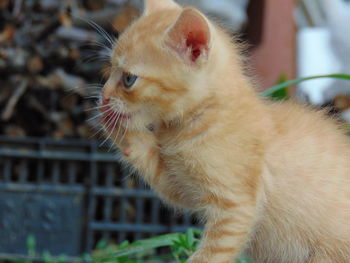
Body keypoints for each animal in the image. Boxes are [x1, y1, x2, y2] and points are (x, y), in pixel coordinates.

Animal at [97, 0, 350, 263]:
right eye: (111, 68)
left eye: (129, 79)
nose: (103, 95)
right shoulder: (181, 186)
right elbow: (151, 165)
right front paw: (116, 127)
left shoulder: (235, 208)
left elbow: (210, 255)